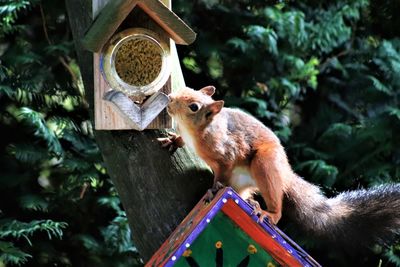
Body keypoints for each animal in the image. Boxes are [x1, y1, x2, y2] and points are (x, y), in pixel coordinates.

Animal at [159, 87, 400, 248]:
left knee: (276, 202)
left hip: (265, 165)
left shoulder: (227, 153)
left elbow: (222, 172)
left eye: (194, 107)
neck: (196, 131)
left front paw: (214, 188)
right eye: (187, 89)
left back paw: (268, 213)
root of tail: (285, 172)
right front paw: (173, 141)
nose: (170, 99)